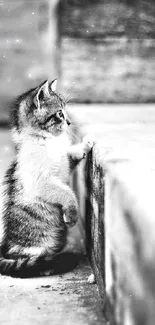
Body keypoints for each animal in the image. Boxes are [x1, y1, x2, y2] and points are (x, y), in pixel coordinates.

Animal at [0, 78, 94, 276]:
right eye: (60, 113)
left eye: (66, 111)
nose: (69, 122)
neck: (47, 140)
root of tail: (6, 249)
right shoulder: (41, 181)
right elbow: (67, 193)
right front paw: (72, 214)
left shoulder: (65, 163)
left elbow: (69, 154)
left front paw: (85, 145)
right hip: (36, 244)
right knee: (29, 260)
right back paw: (47, 265)